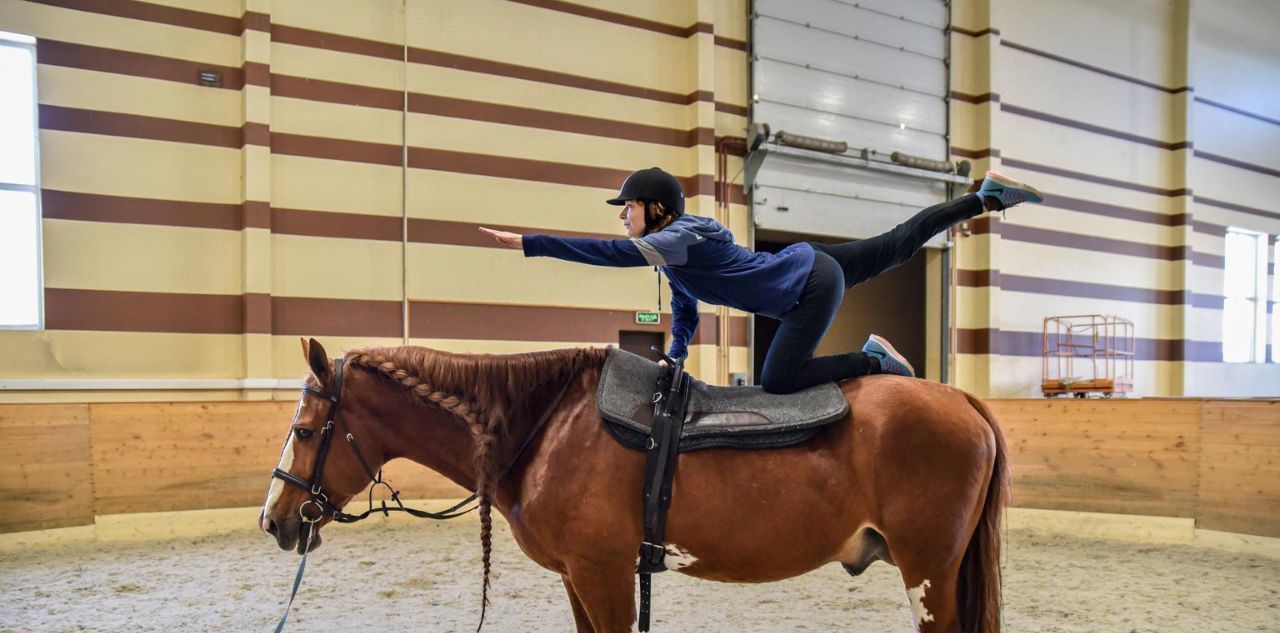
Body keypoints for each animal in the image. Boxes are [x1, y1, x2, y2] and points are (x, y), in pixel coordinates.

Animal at [259, 342, 1008, 633]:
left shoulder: (606, 574)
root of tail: (963, 400)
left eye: (304, 427)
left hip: (928, 573)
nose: (275, 518)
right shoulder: (580, 579)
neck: (544, 425)